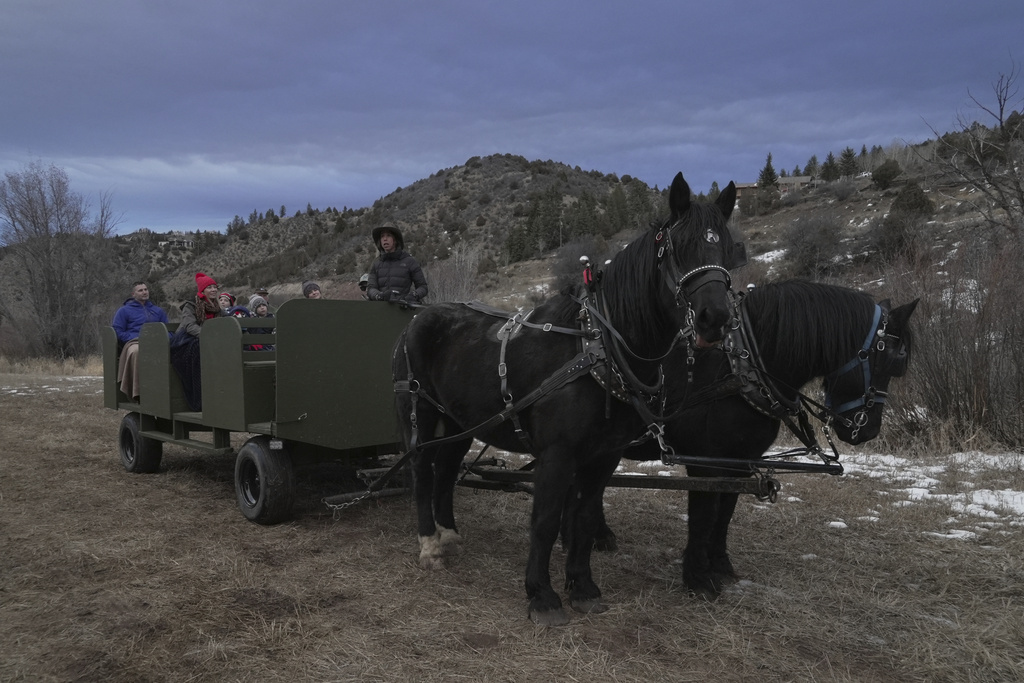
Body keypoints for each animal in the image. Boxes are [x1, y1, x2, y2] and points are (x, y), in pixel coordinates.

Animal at [393, 172, 744, 626]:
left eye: (727, 248)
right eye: (678, 248)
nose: (714, 318)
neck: (597, 346)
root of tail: (418, 318)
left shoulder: (604, 455)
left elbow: (584, 518)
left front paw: (583, 586)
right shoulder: (557, 454)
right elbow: (545, 520)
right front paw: (541, 595)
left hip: (458, 421)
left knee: (447, 469)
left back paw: (448, 533)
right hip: (418, 412)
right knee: (422, 471)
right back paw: (430, 545)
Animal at [593, 279, 918, 598]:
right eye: (889, 360)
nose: (868, 430)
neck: (740, 371)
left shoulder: (741, 462)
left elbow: (725, 513)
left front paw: (719, 564)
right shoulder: (706, 464)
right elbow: (704, 516)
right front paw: (698, 578)